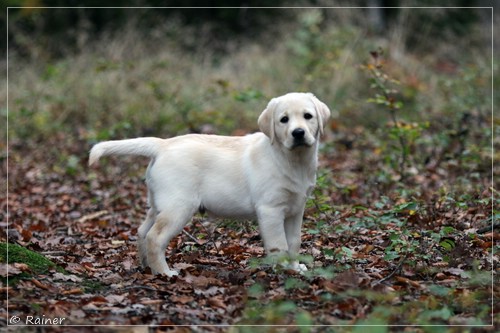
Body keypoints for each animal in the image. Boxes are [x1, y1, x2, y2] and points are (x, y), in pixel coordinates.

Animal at [89, 92, 332, 276]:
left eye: (308, 116)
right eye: (284, 120)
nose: (298, 133)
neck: (292, 160)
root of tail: (162, 144)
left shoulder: (296, 209)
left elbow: (294, 242)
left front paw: (295, 268)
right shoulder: (271, 210)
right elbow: (279, 245)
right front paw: (282, 272)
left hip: (159, 204)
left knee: (142, 231)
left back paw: (147, 266)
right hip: (179, 207)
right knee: (154, 237)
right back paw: (164, 273)